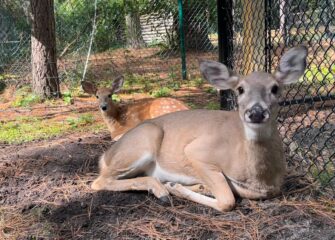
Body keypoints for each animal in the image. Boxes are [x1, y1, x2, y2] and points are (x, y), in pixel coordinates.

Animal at [90, 47, 308, 212]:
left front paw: (189, 186)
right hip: (144, 139)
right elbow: (227, 201)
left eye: (275, 88)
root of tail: (105, 156)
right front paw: (176, 187)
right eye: (240, 89)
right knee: (98, 182)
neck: (260, 177)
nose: (255, 112)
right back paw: (162, 191)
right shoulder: (198, 151)